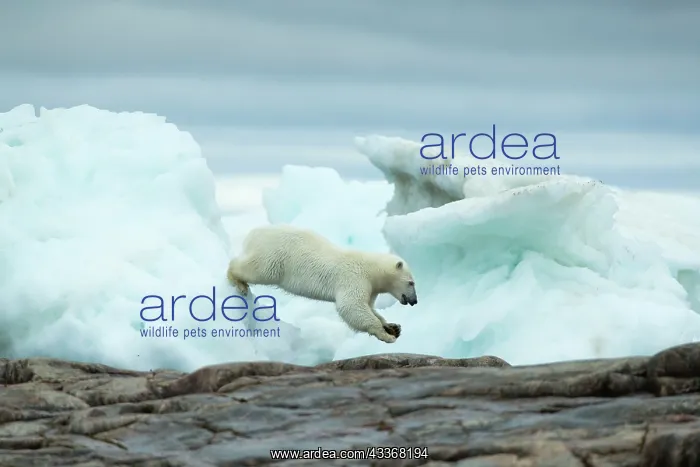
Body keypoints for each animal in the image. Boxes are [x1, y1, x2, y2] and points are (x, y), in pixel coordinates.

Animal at [226, 224, 418, 343]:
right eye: (411, 283)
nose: (414, 301)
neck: (371, 268)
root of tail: (254, 234)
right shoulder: (354, 279)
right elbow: (352, 306)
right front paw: (386, 335)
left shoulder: (370, 288)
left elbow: (369, 307)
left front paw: (392, 326)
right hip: (275, 257)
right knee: (259, 269)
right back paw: (238, 281)